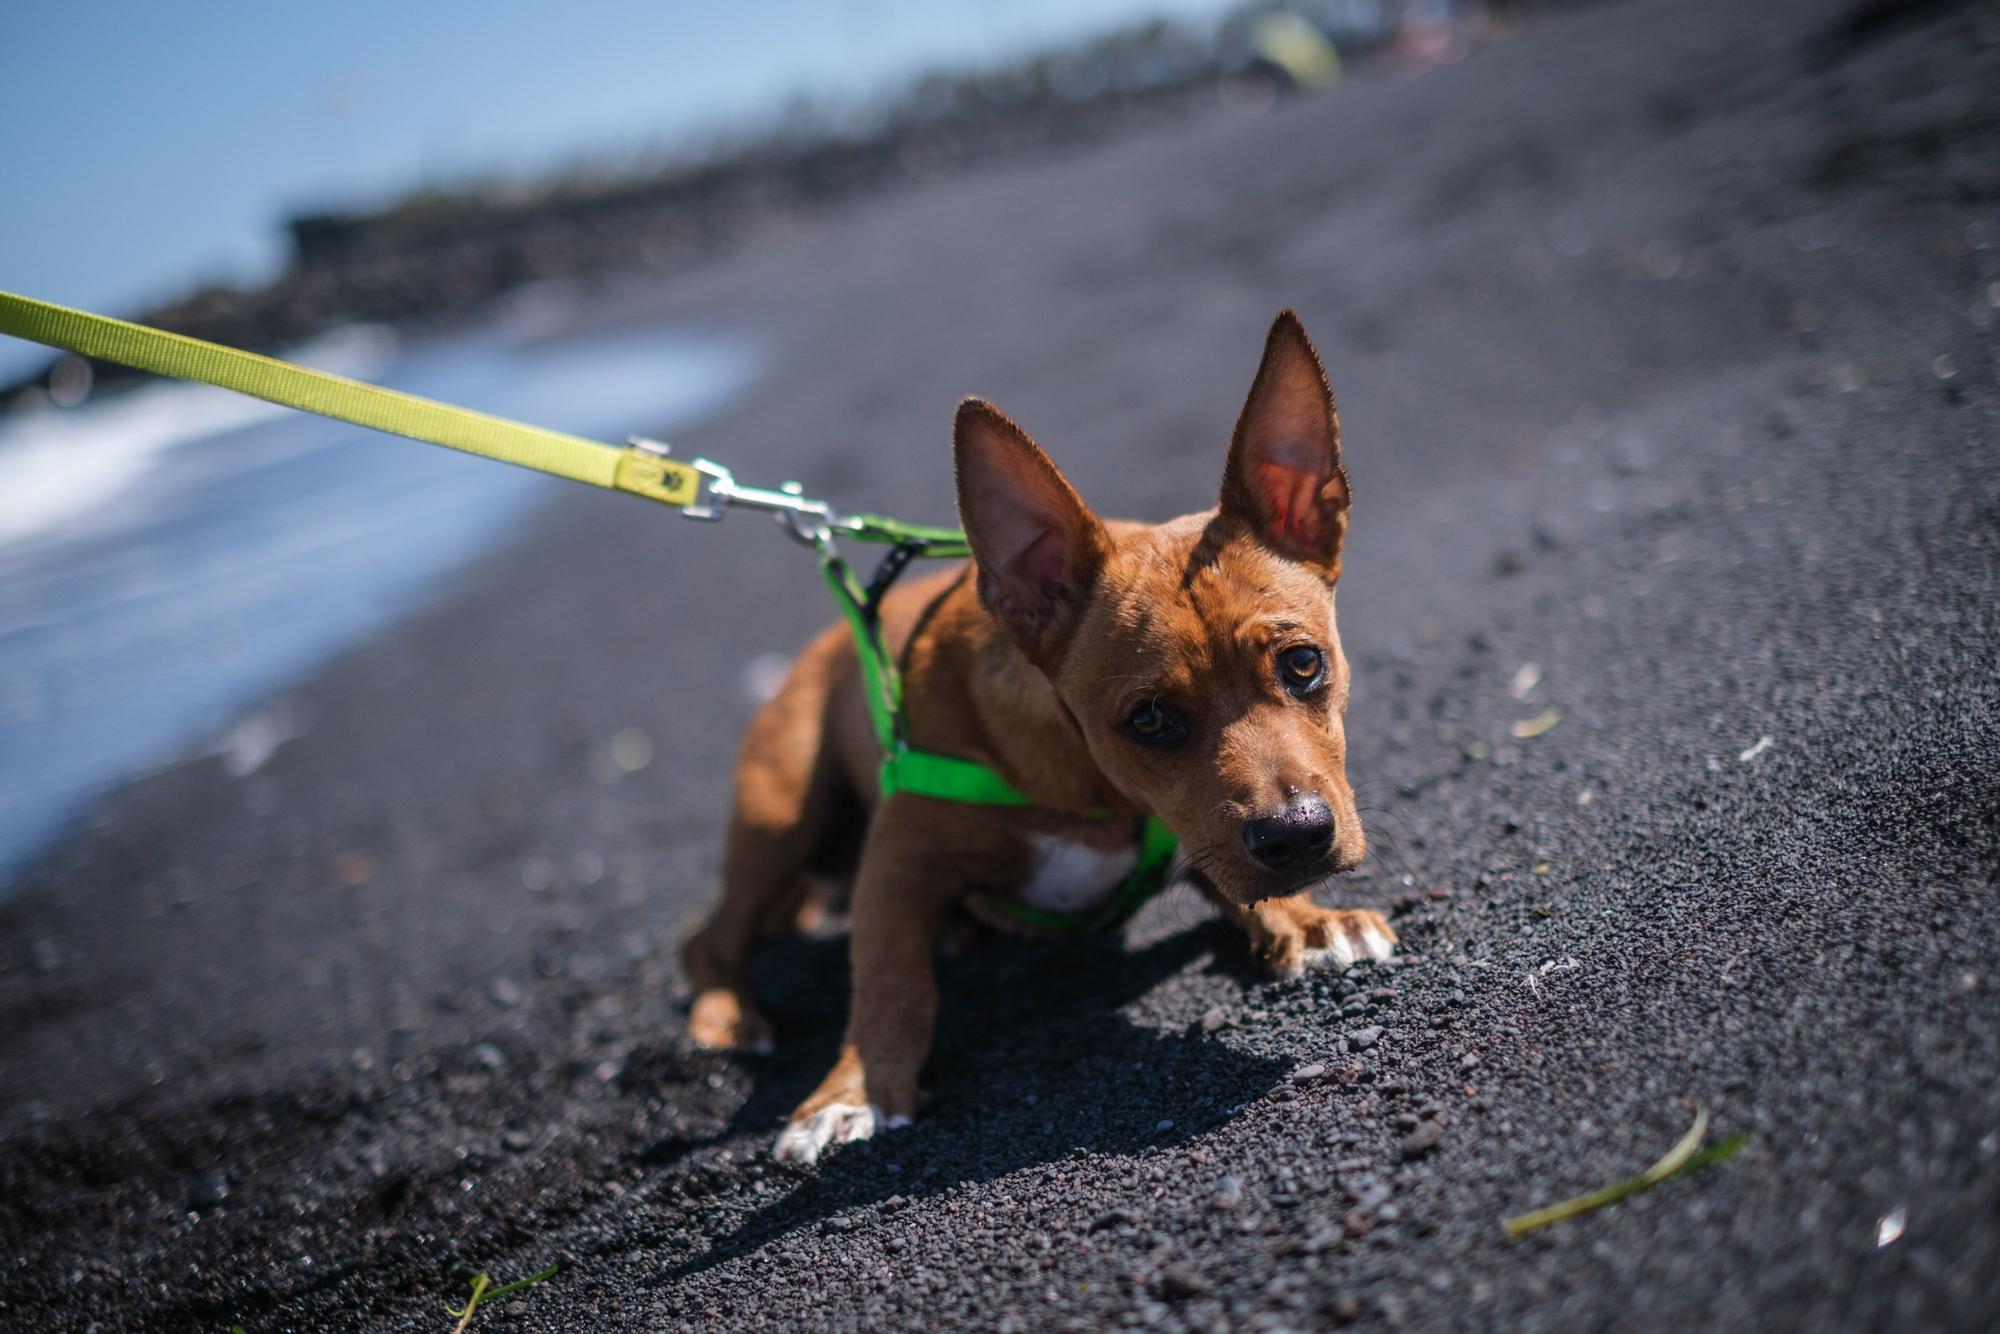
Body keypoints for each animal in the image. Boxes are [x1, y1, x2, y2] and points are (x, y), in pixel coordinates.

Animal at [680, 310, 1400, 1160]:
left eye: (1303, 663)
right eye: (1148, 719)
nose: (1296, 837)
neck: (1092, 786)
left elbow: (1234, 879)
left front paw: (1309, 921)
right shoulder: (895, 860)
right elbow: (889, 980)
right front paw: (855, 1092)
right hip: (782, 816)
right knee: (710, 940)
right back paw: (727, 1019)